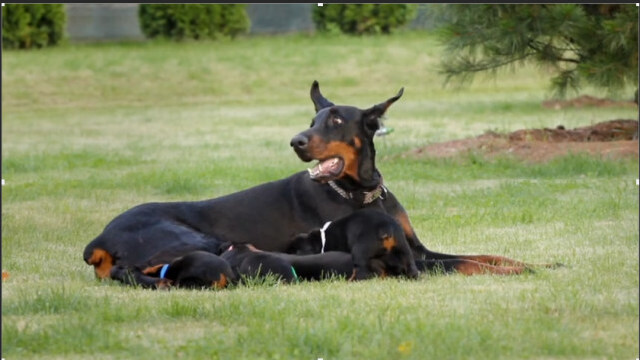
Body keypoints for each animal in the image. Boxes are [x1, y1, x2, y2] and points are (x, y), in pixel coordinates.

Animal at [288, 208, 420, 282]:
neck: (322, 238)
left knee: (362, 272)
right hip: (404, 248)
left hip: (359, 251)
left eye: (295, 250)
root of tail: (385, 227)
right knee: (411, 267)